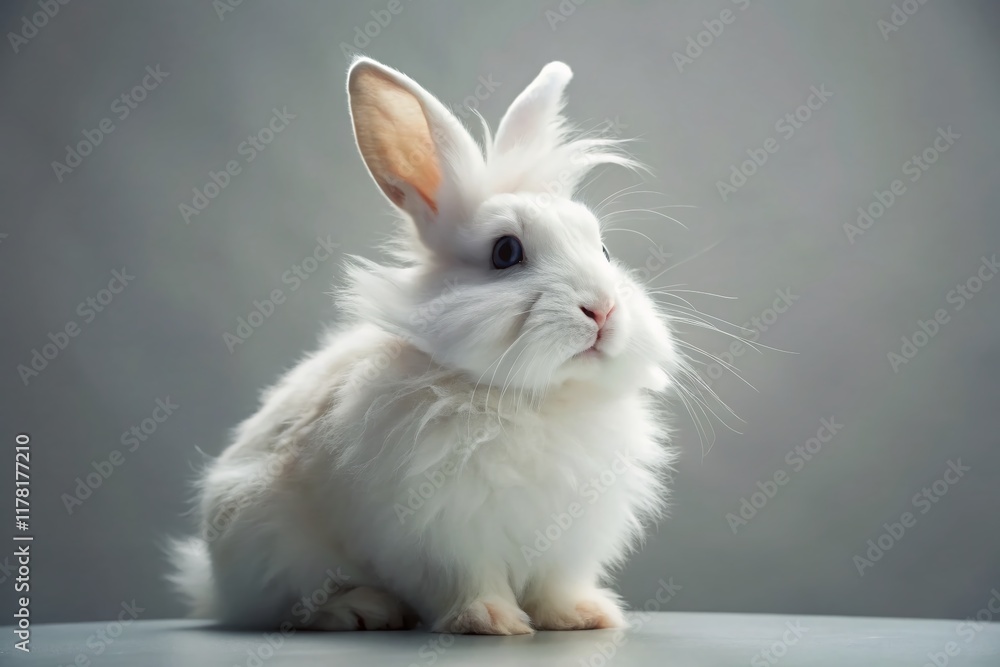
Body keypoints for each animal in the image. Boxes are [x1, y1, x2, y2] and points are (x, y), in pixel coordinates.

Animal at [169, 56, 685, 635]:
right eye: (506, 252)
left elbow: (554, 585)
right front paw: (489, 621)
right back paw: (360, 609)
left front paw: (583, 617)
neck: (535, 399)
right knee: (289, 606)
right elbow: (466, 580)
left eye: (604, 250)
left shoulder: (567, 538)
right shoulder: (440, 533)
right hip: (263, 539)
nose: (601, 310)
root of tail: (214, 590)